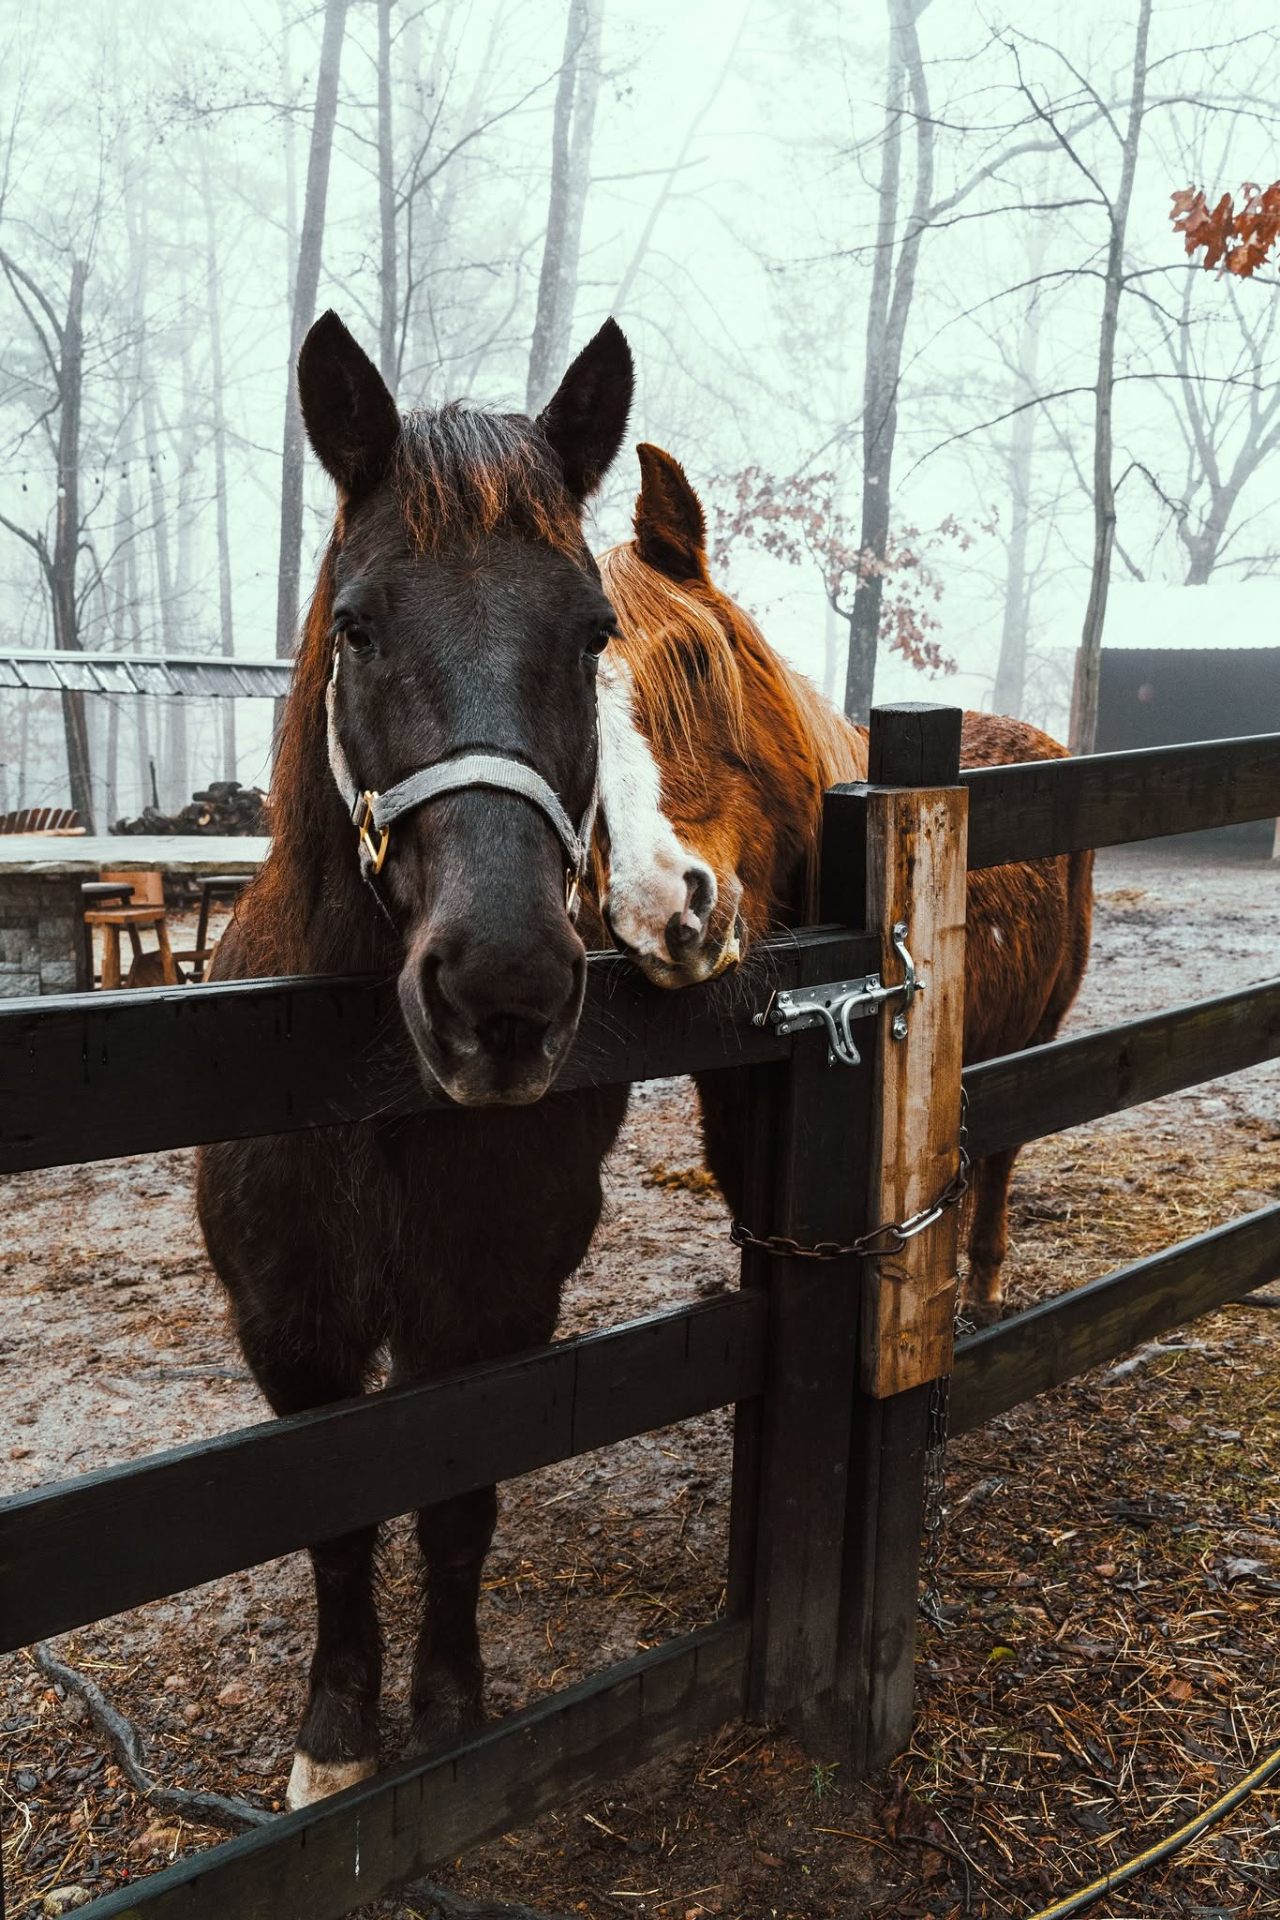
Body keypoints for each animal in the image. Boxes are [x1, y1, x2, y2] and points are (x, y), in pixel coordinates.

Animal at [194, 312, 702, 1811]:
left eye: (593, 633)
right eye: (359, 625)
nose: (505, 993)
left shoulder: (489, 1311)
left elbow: (455, 1508)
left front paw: (451, 1710)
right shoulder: (290, 1327)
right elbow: (339, 1524)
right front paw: (335, 1737)